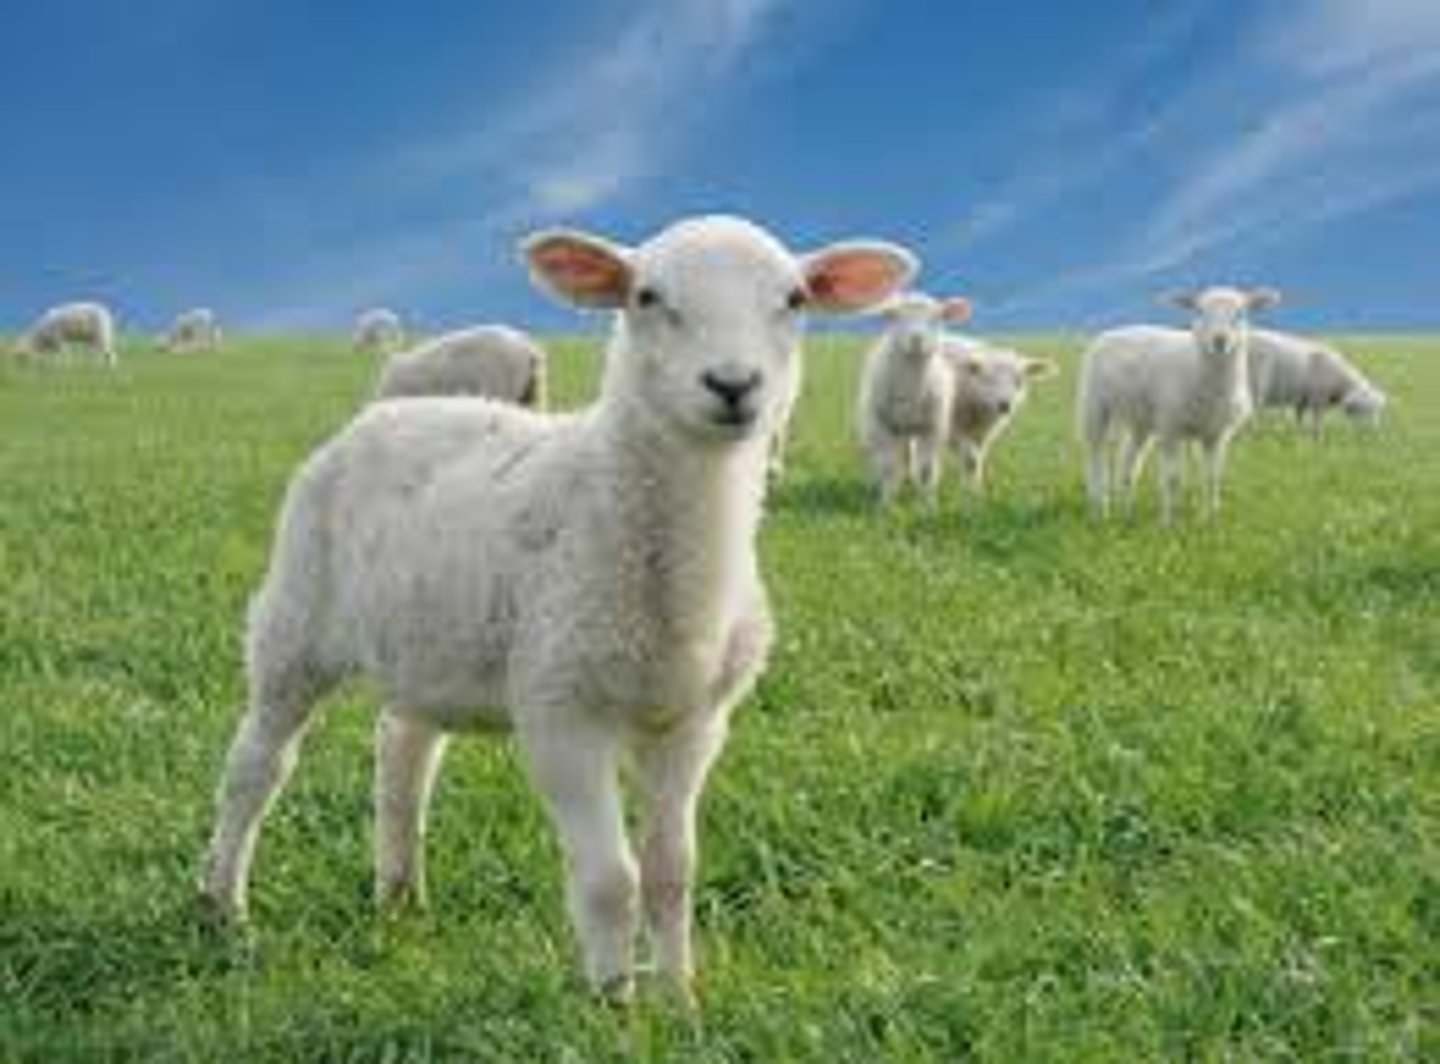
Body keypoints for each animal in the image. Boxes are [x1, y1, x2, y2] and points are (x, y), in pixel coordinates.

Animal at [857, 291, 972, 506]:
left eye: (937, 317)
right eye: (894, 316)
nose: (917, 338)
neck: (910, 390)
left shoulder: (932, 427)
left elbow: (927, 470)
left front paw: (928, 505)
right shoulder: (882, 425)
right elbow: (888, 467)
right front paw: (886, 504)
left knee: (908, 456)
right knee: (885, 459)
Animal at [940, 336, 1057, 495]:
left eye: (1019, 381)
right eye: (988, 379)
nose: (1005, 405)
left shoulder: (982, 432)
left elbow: (975, 461)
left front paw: (973, 491)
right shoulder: (952, 427)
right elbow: (971, 458)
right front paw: (970, 492)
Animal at [1078, 286, 1281, 522]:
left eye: (1241, 313)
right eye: (1199, 311)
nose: (1219, 340)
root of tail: (1113, 331)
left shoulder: (1216, 434)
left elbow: (1212, 477)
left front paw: (1210, 518)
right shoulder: (1170, 427)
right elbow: (1173, 478)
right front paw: (1169, 521)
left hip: (1141, 421)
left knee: (1128, 462)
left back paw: (1125, 510)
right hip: (1094, 405)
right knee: (1095, 458)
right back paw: (1099, 508)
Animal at [1248, 329, 1386, 432]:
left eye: (1377, 411)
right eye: (1362, 410)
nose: (1372, 432)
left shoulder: (1302, 398)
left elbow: (1299, 416)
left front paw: (1298, 432)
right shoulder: (1318, 398)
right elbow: (1317, 421)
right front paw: (1317, 438)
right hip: (1256, 382)